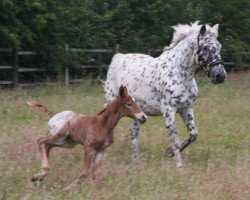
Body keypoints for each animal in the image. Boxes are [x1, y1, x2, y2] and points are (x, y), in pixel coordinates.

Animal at [103, 21, 227, 169]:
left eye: (219, 46)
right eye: (205, 47)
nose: (220, 75)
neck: (179, 74)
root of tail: (117, 58)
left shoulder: (186, 108)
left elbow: (193, 135)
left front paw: (170, 152)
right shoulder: (168, 110)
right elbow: (174, 138)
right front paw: (179, 167)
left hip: (137, 113)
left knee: (133, 133)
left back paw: (136, 163)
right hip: (112, 103)